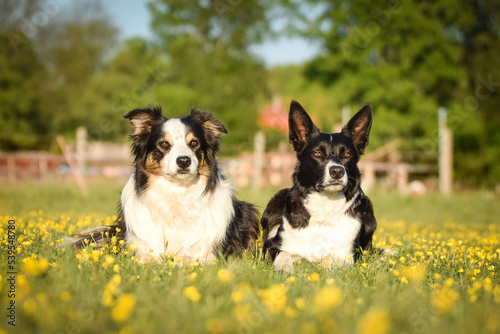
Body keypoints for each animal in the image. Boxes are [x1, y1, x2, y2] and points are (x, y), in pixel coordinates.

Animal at [69, 105, 260, 262]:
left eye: (194, 143)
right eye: (164, 143)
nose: (184, 161)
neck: (177, 193)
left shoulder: (204, 252)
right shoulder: (145, 249)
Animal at [262, 100, 376, 272]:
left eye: (347, 154)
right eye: (317, 154)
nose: (337, 172)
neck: (326, 206)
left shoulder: (346, 257)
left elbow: (331, 263)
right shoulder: (272, 247)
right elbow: (284, 255)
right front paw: (286, 269)